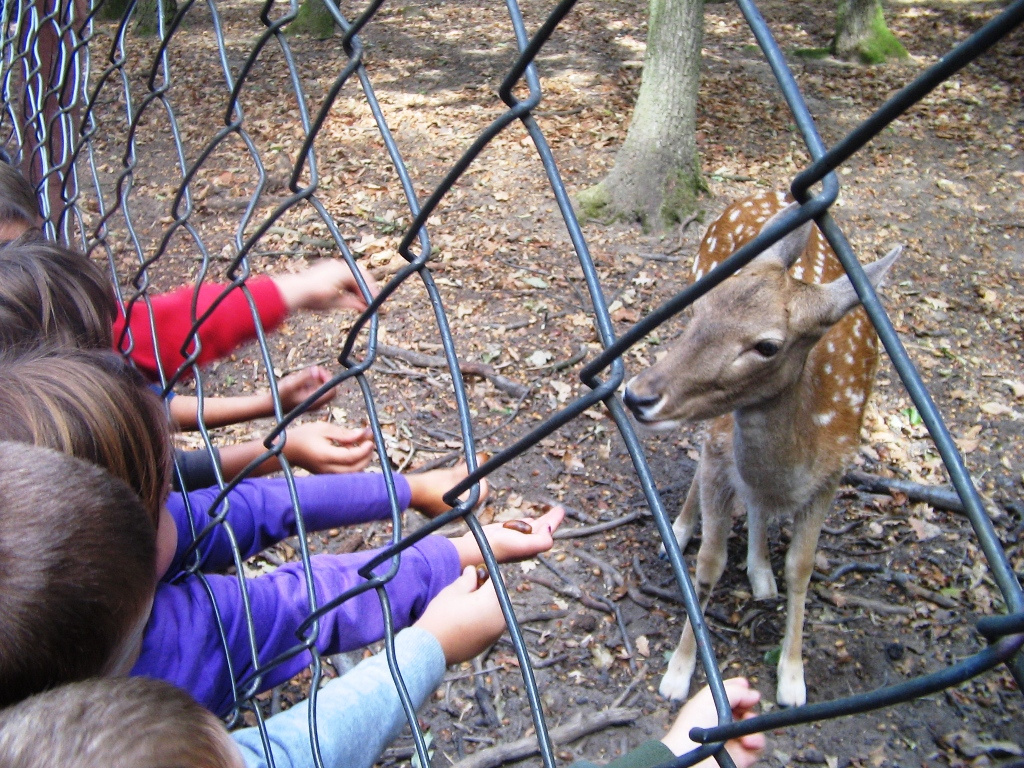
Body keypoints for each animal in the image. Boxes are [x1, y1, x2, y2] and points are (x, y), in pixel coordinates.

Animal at [618, 192, 901, 708]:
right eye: (702, 307)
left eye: (768, 346)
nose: (638, 395)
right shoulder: (719, 450)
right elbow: (709, 562)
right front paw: (679, 672)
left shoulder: (833, 474)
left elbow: (801, 567)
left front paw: (792, 677)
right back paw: (682, 528)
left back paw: (760, 568)